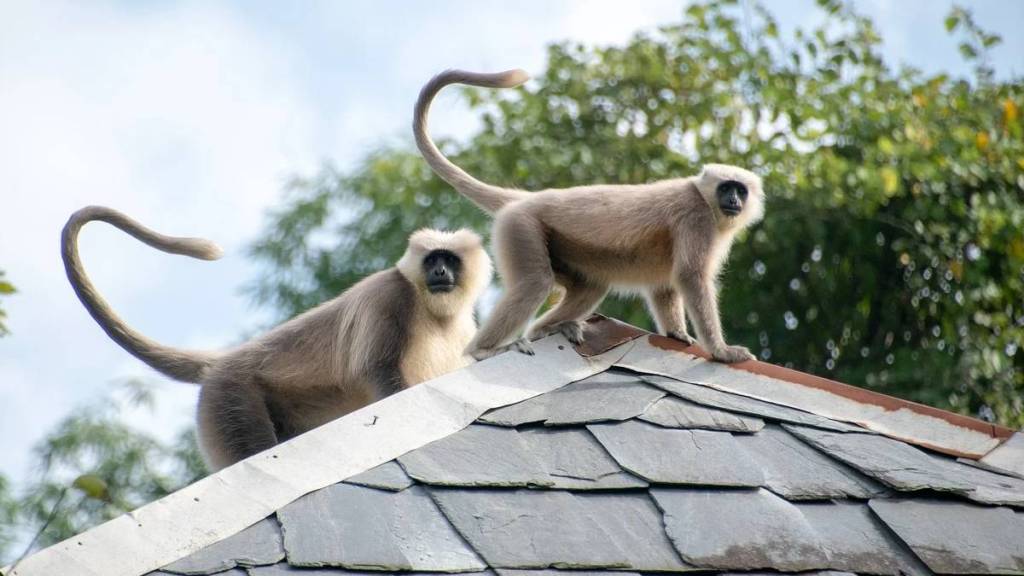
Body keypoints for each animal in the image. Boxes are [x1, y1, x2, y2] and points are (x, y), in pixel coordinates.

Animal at [61, 204, 493, 467]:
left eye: (449, 260)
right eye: (433, 259)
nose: (439, 272)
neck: (429, 308)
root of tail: (224, 361)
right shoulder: (389, 297)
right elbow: (378, 372)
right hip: (230, 400)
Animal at [411, 69, 765, 360]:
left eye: (740, 190)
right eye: (726, 188)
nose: (733, 199)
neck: (701, 195)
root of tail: (528, 199)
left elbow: (664, 285)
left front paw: (677, 333)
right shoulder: (696, 216)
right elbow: (690, 275)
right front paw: (721, 351)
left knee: (590, 287)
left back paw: (547, 329)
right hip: (521, 226)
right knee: (536, 282)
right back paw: (483, 349)